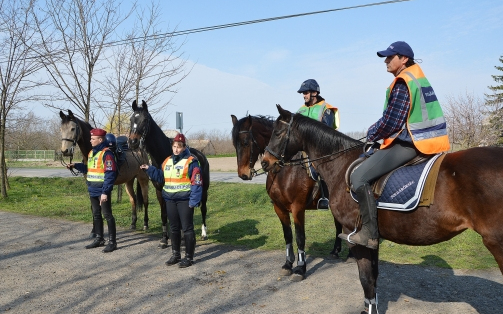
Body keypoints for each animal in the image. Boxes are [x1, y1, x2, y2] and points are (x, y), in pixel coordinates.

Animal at [231, 114, 352, 282]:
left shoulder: (298, 208)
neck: (285, 171)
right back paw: (335, 251)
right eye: (234, 144)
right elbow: (288, 236)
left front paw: (300, 268)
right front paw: (288, 264)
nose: (243, 174)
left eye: (245, 142)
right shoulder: (279, 208)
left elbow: (300, 237)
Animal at [262, 105, 503, 314]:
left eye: (277, 132)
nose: (265, 162)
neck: (341, 163)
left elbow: (366, 278)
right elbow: (374, 277)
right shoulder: (372, 238)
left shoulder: (352, 235)